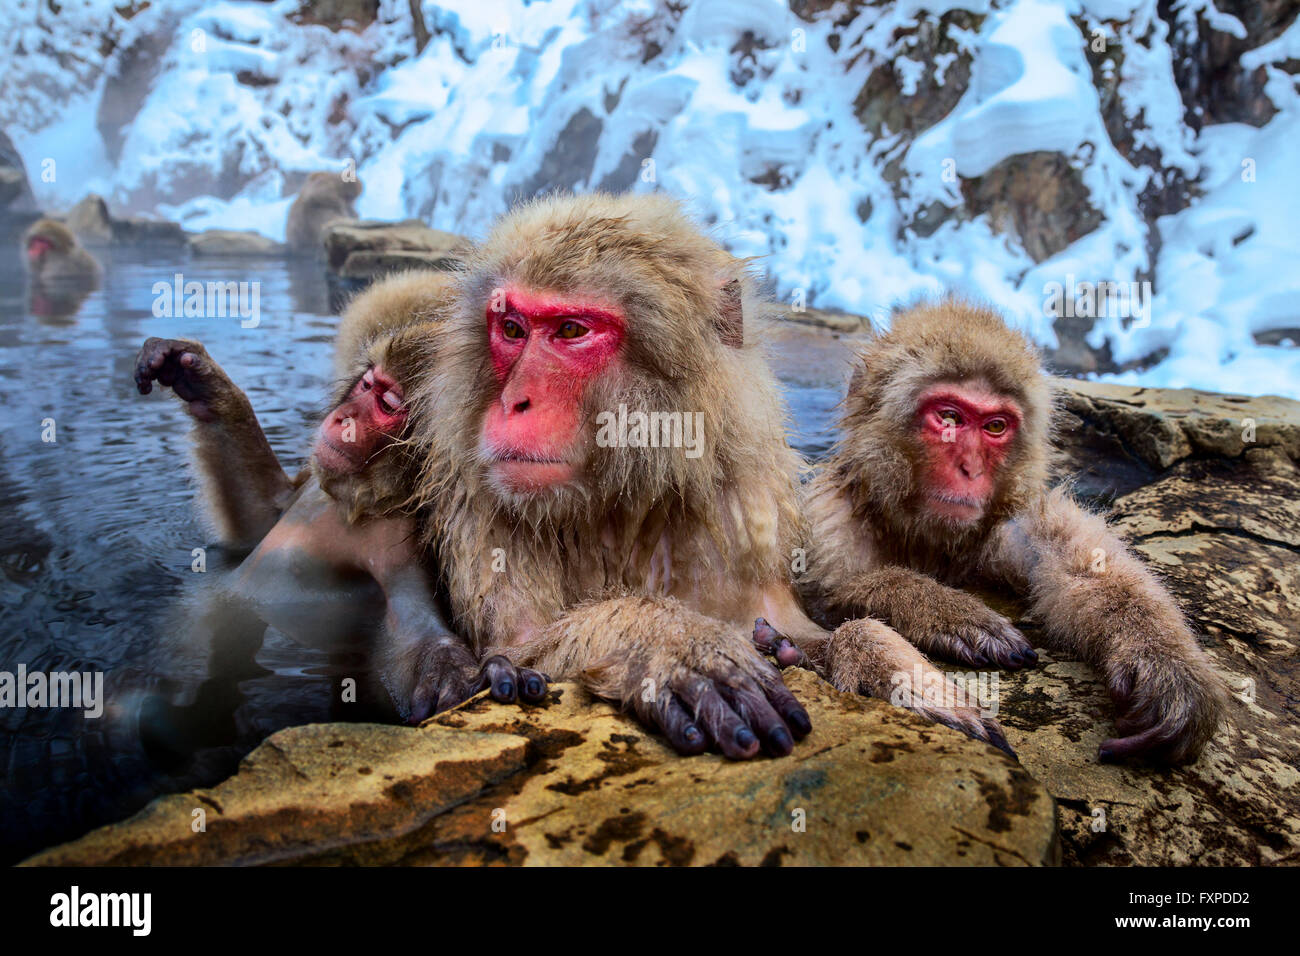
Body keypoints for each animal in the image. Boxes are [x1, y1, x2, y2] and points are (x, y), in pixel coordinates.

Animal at [133, 270, 543, 723]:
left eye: (387, 404)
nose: (342, 418)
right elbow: (262, 515)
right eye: (366, 384)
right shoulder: (316, 481)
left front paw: (462, 674)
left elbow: (417, 628)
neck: (359, 500)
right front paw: (205, 384)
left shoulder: (394, 542)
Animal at [798, 299, 1229, 763]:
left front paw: (1162, 658)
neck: (921, 533)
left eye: (995, 426)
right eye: (949, 417)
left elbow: (1075, 561)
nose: (970, 468)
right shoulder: (828, 522)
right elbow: (815, 609)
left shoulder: (1006, 521)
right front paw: (936, 609)